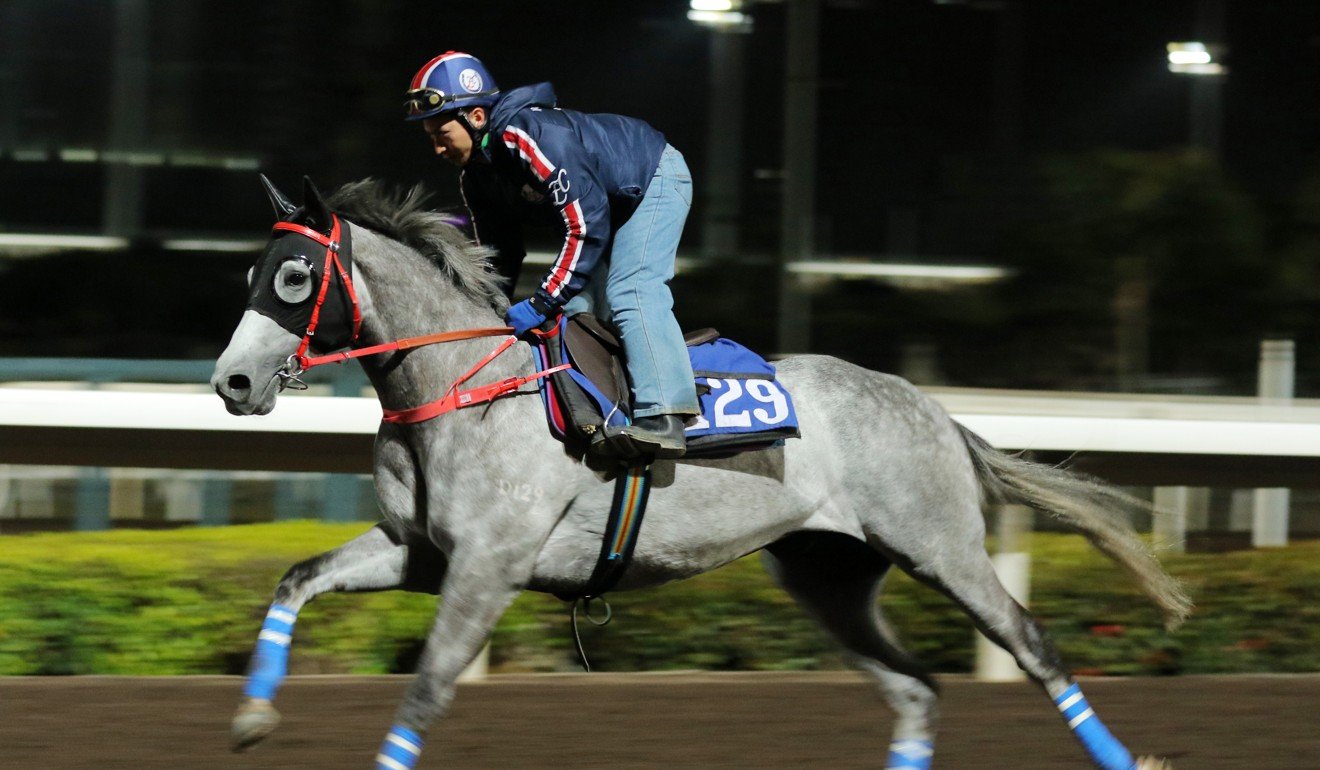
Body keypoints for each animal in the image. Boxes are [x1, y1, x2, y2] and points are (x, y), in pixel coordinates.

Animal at [208, 178, 1188, 766]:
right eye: (251, 270)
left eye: (294, 277)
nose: (232, 382)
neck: (463, 383)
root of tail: (935, 410)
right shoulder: (421, 551)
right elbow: (297, 577)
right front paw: (251, 717)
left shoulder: (490, 564)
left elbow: (426, 688)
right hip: (830, 572)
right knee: (916, 689)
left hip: (938, 544)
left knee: (1033, 644)